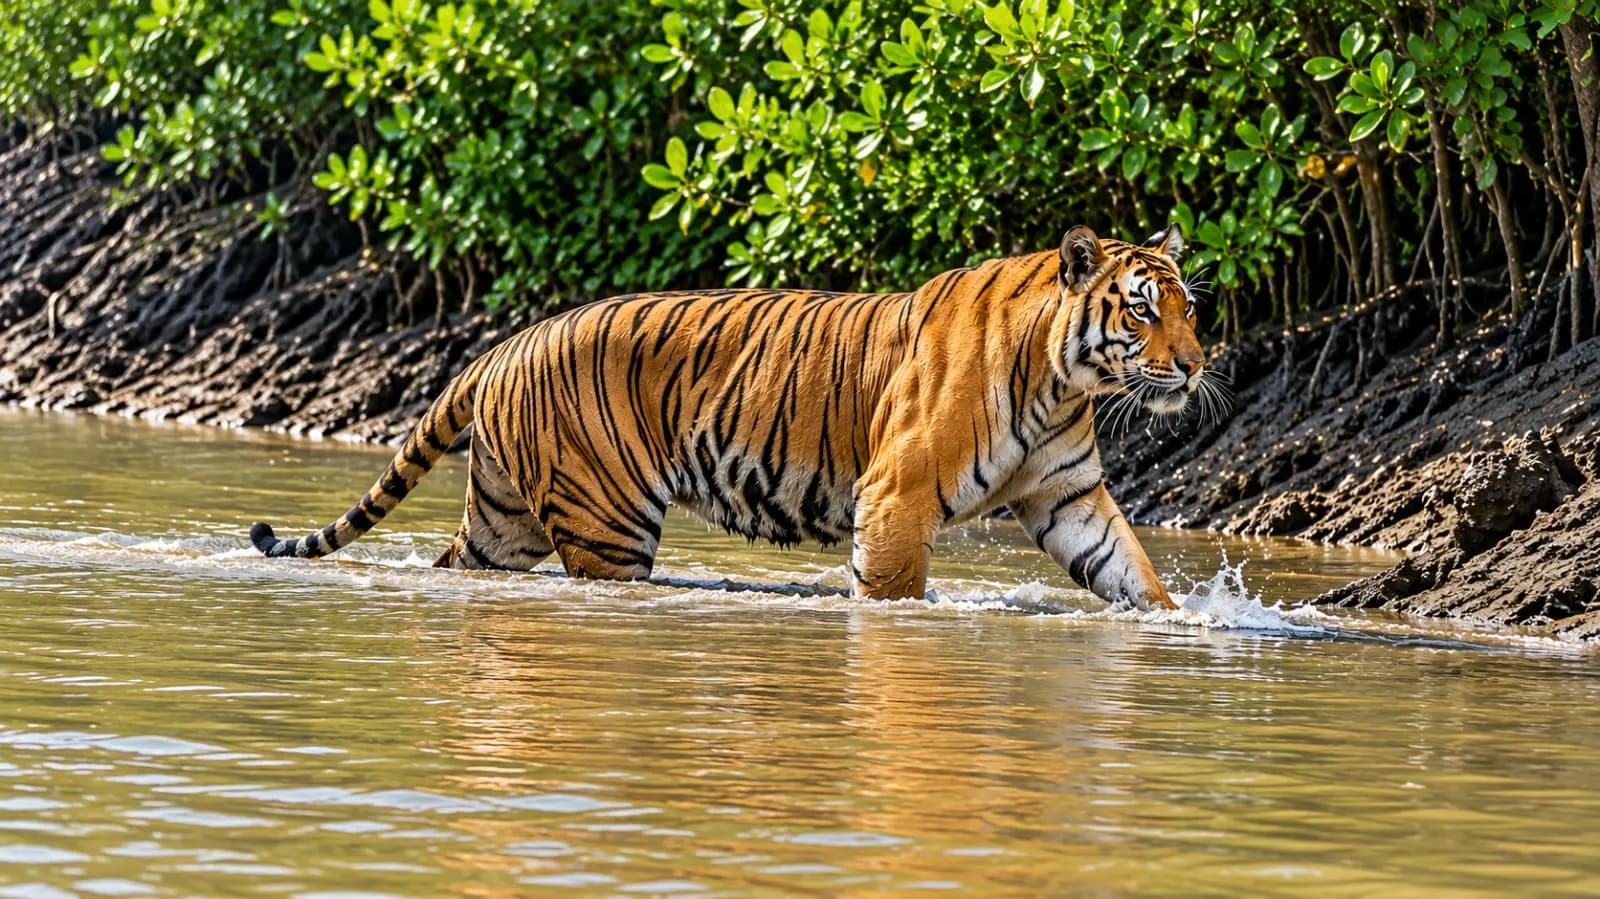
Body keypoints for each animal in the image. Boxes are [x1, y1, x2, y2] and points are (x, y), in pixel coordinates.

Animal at [250, 224, 1208, 609]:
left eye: (1189, 307)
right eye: (1141, 310)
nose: (1200, 364)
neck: (1062, 382)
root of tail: (506, 341)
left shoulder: (1068, 497)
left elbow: (1131, 570)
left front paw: (1185, 622)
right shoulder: (895, 497)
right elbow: (891, 594)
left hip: (505, 519)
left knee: (458, 563)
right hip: (607, 526)